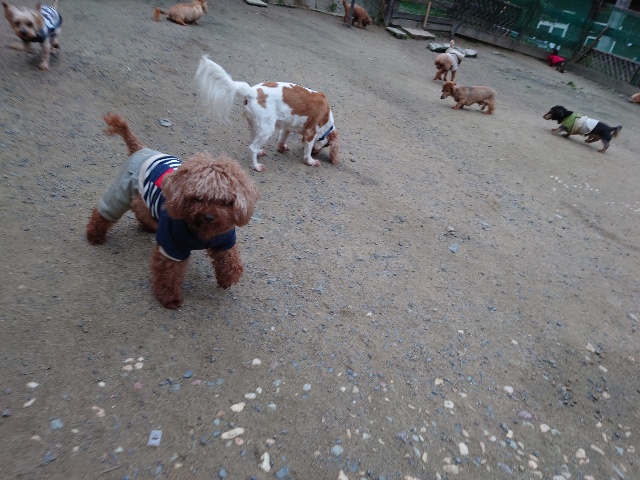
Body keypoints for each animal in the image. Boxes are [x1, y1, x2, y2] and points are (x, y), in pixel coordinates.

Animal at [86, 113, 258, 309]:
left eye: (224, 201)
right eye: (198, 198)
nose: (209, 217)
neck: (202, 231)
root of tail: (141, 149)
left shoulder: (224, 240)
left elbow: (230, 262)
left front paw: (226, 280)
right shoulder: (172, 245)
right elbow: (168, 273)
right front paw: (169, 297)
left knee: (139, 206)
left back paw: (148, 226)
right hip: (120, 192)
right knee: (103, 213)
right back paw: (94, 235)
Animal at [195, 55, 340, 172]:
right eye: (327, 145)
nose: (316, 153)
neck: (327, 120)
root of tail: (251, 91)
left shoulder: (287, 127)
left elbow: (282, 140)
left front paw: (282, 148)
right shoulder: (311, 133)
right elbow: (307, 150)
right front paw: (310, 161)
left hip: (255, 125)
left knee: (251, 142)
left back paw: (259, 152)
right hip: (267, 129)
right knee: (252, 147)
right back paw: (256, 166)